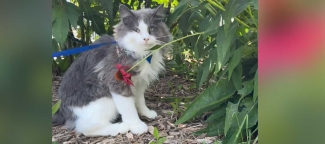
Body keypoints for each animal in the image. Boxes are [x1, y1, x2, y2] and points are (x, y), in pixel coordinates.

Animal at [52, 4, 171, 136]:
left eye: (151, 29)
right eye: (136, 30)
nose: (146, 39)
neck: (141, 55)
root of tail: (62, 111)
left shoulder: (140, 83)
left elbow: (140, 100)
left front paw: (146, 113)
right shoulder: (118, 83)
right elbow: (129, 109)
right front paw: (136, 125)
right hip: (105, 101)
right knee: (85, 128)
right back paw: (122, 127)